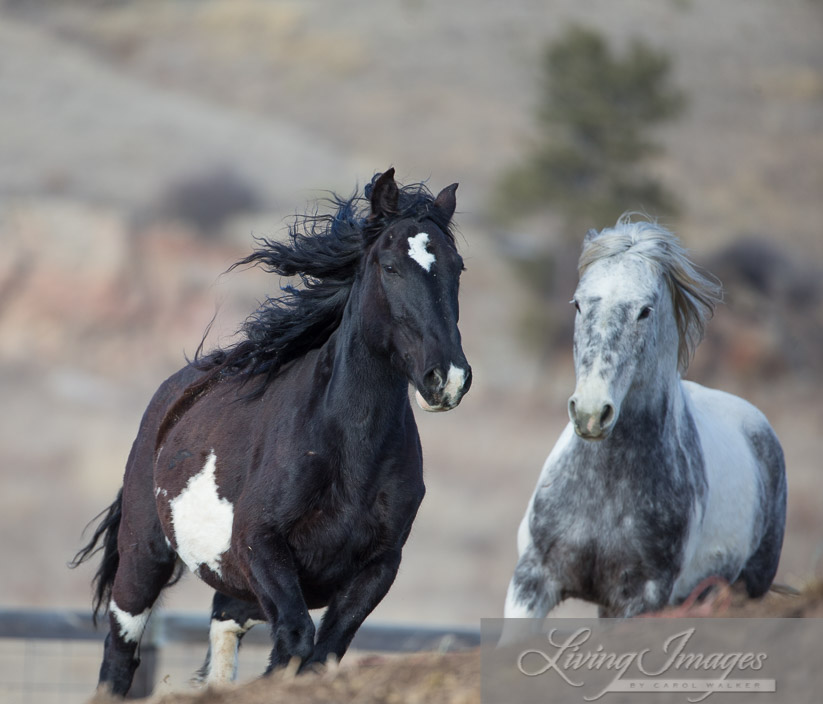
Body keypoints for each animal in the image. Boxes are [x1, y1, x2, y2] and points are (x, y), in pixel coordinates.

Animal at [74, 168, 474, 696]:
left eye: (458, 268)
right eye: (389, 265)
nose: (447, 378)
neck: (348, 451)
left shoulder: (378, 567)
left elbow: (321, 653)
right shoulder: (260, 545)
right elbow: (296, 638)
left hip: (233, 589)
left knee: (222, 644)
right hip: (144, 560)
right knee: (118, 659)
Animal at [506, 216, 788, 620]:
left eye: (645, 310)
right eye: (577, 304)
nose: (591, 413)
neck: (603, 492)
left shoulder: (642, 599)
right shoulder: (531, 582)